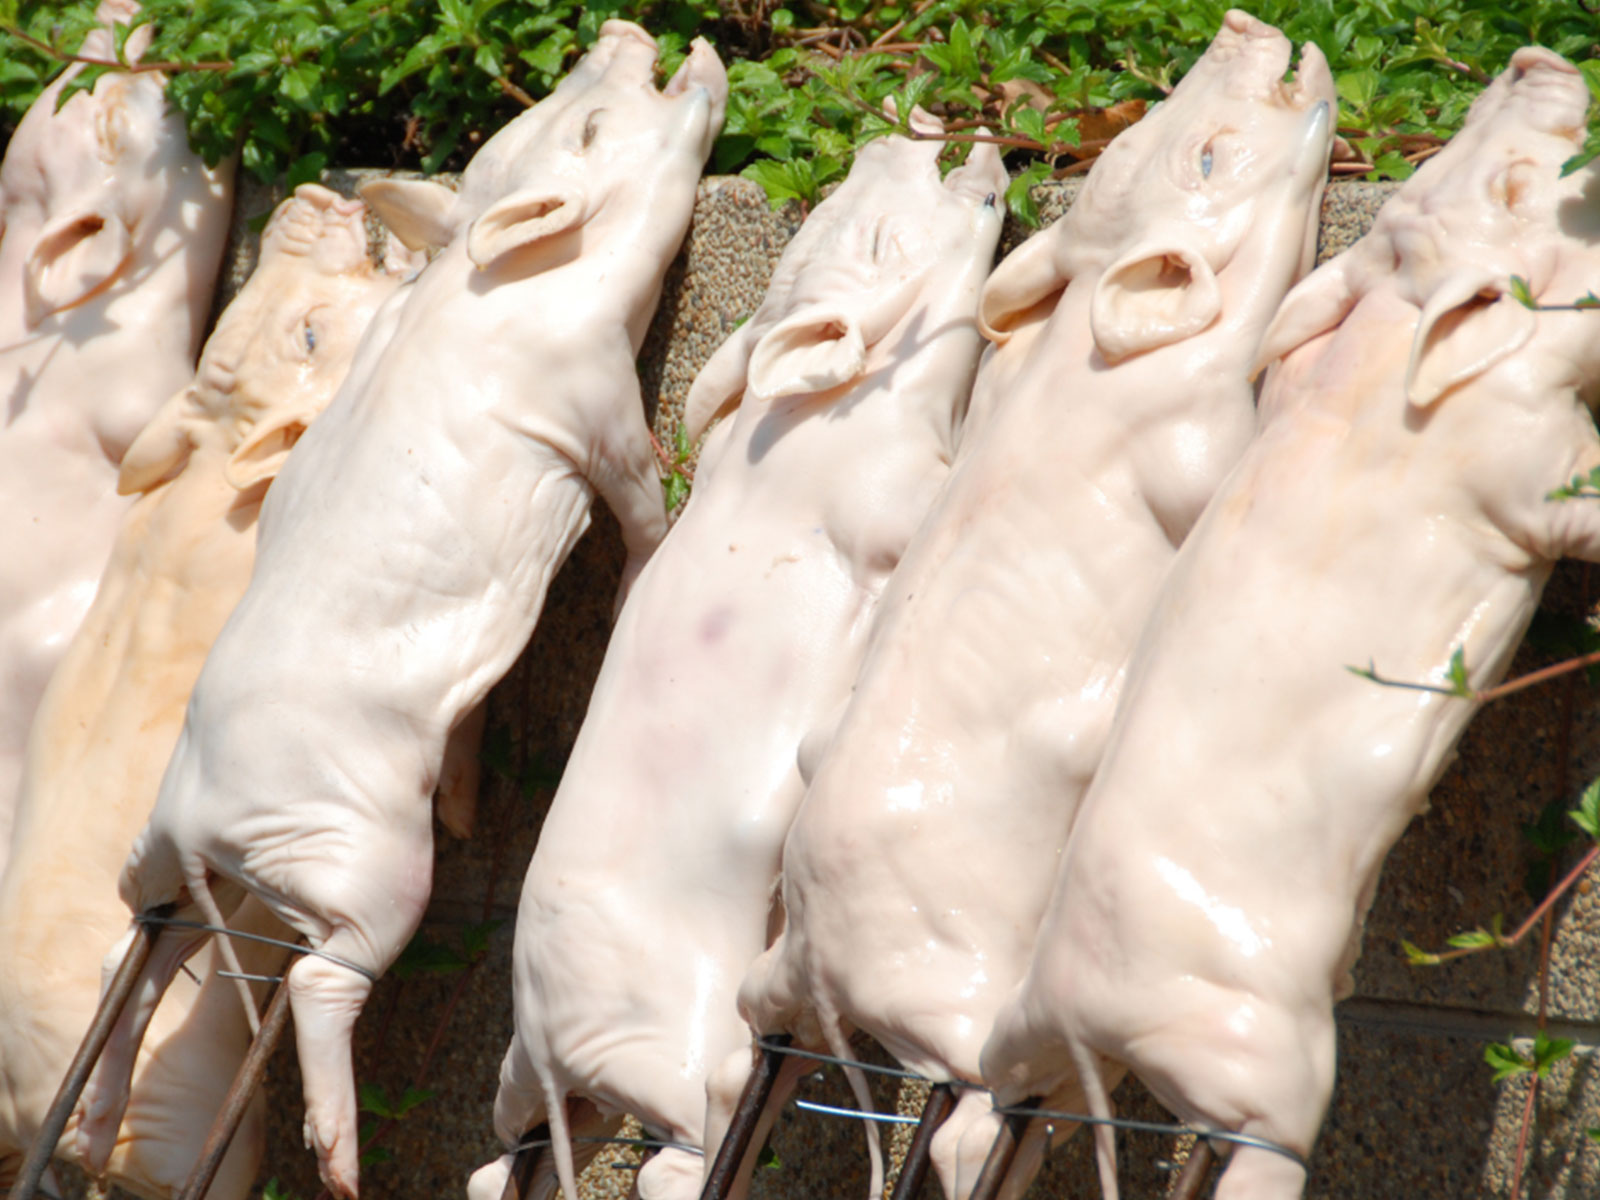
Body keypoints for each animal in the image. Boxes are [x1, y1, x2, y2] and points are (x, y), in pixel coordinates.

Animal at [73, 24, 727, 1199]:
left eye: (558, 112)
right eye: (591, 128)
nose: (622, 32)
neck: (495, 282)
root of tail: (202, 817)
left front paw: (470, 798)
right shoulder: (589, 393)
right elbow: (639, 500)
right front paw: (651, 561)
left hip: (168, 866)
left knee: (134, 950)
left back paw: (98, 1139)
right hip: (365, 868)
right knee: (322, 980)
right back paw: (337, 1161)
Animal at [467, 115, 1006, 1200]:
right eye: (881, 242)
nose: (897, 138)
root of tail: (547, 1036)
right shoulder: (889, 509)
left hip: (530, 1086)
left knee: (499, 1161)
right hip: (670, 1045)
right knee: (687, 1143)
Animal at [727, 13, 1335, 1200]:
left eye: (1147, 137)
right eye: (1208, 159)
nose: (1241, 24)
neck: (1088, 364)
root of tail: (819, 959)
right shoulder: (1191, 445)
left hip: (776, 979)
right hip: (956, 1001)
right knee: (967, 1119)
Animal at [980, 47, 1600, 1200]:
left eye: (1430, 175)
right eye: (1517, 194)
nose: (1533, 56)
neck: (1397, 338)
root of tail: (1087, 1013)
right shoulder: (1529, 464)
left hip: (1020, 1044)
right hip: (1271, 1080)